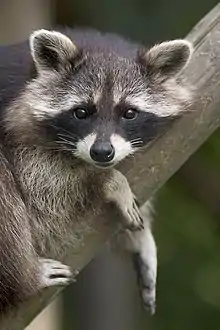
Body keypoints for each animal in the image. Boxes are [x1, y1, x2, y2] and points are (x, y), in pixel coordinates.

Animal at [0, 29, 192, 316]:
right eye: (81, 112)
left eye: (129, 113)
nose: (102, 153)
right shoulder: (15, 121)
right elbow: (40, 181)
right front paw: (109, 180)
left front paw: (140, 238)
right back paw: (27, 278)